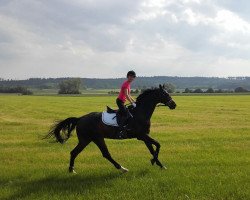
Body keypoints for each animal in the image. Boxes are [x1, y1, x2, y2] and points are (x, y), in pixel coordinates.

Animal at [45, 84, 176, 173]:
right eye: (165, 94)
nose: (174, 105)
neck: (140, 112)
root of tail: (80, 118)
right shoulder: (141, 135)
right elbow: (158, 145)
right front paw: (154, 161)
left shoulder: (144, 136)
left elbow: (153, 149)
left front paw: (159, 164)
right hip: (92, 139)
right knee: (105, 154)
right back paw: (122, 168)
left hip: (89, 139)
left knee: (76, 152)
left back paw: (71, 170)